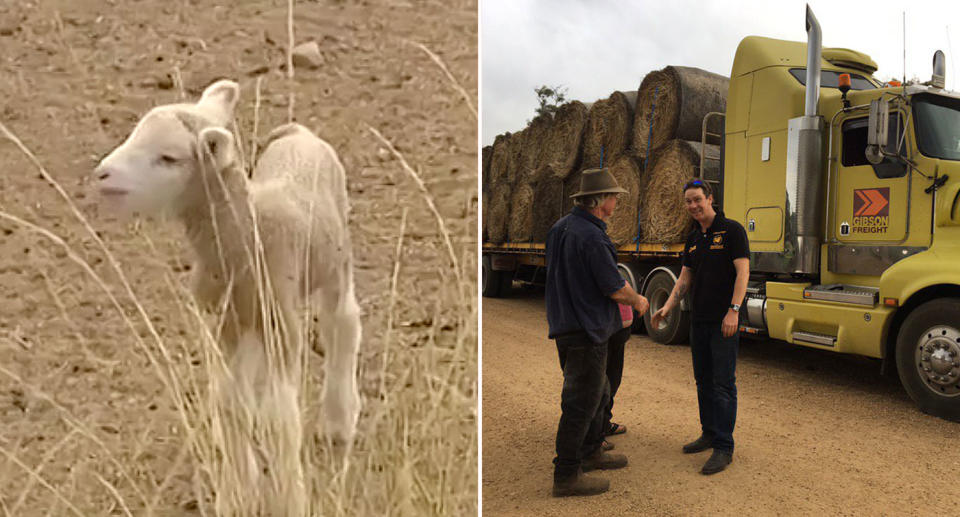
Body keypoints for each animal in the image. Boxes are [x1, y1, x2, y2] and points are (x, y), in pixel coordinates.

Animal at [94, 78, 364, 446]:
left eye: (168, 157)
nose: (102, 174)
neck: (248, 230)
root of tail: (299, 132)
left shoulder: (282, 324)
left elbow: (281, 419)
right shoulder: (222, 323)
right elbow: (231, 406)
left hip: (337, 264)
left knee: (343, 325)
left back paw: (339, 423)